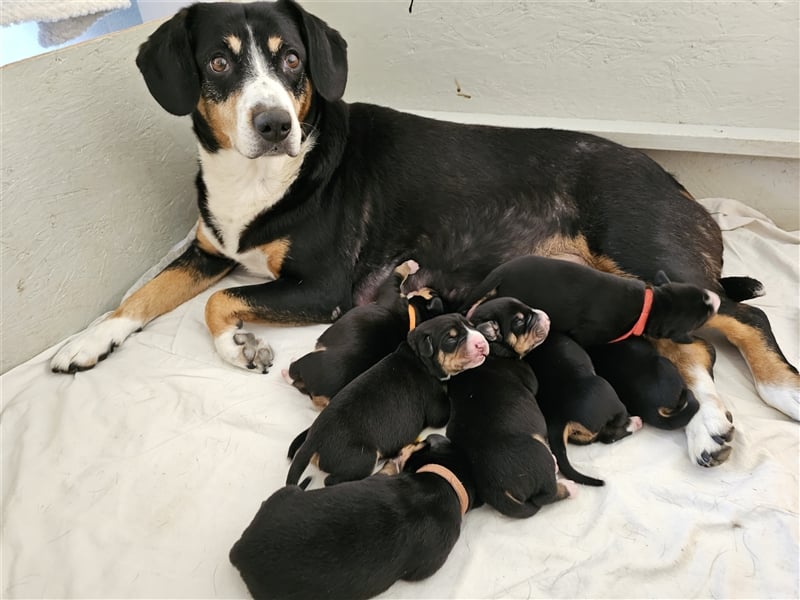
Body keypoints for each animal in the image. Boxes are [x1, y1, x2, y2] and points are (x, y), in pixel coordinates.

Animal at [282, 260, 446, 410]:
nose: (430, 287)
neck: (413, 318)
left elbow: (398, 272)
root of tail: (324, 398)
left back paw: (288, 367)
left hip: (309, 363)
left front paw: (410, 265)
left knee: (293, 372)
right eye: (433, 293)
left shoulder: (390, 290)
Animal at [286, 314, 488, 488]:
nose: (482, 343)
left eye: (470, 325)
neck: (419, 357)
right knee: (332, 481)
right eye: (451, 339)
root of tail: (312, 442)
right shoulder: (436, 407)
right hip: (362, 458)